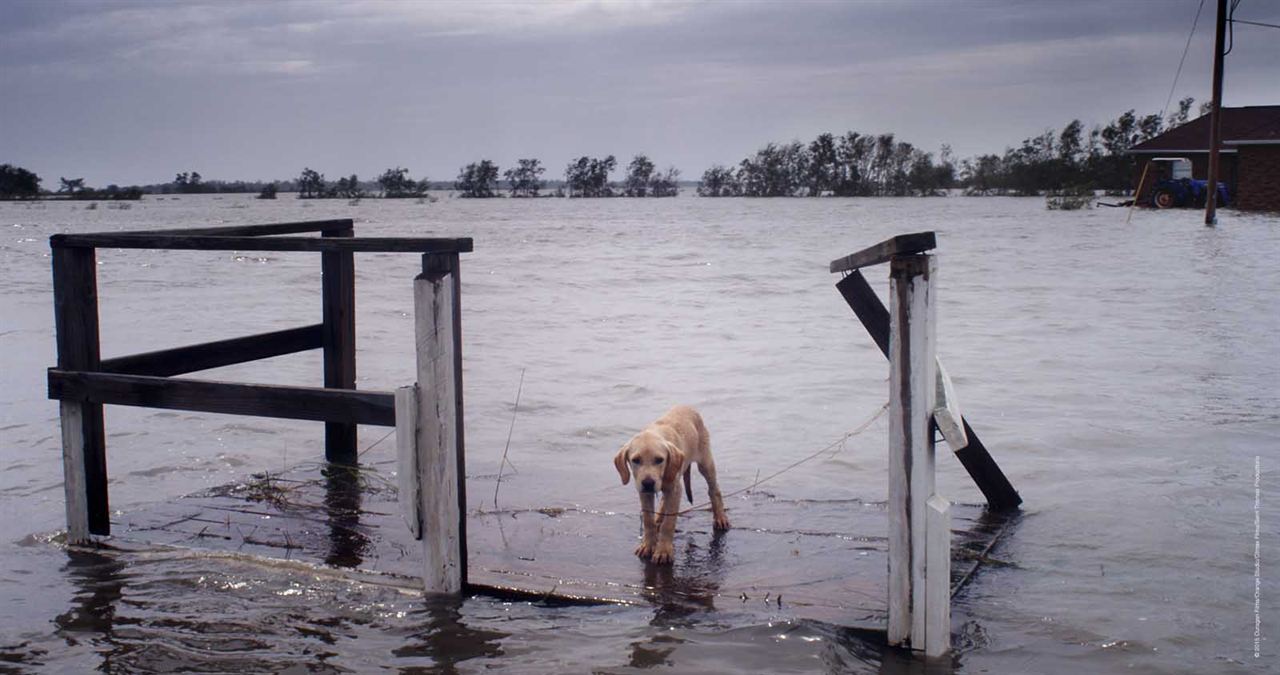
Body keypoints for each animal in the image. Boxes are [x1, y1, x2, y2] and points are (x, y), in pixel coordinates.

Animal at [616, 407, 732, 566]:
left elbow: (669, 523)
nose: (648, 483)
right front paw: (648, 545)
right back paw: (658, 518)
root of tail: (689, 407)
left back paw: (720, 517)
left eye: (659, 460)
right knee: (663, 500)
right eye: (636, 460)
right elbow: (647, 520)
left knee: (714, 490)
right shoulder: (644, 492)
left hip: (705, 463)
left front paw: (663, 551)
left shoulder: (675, 490)